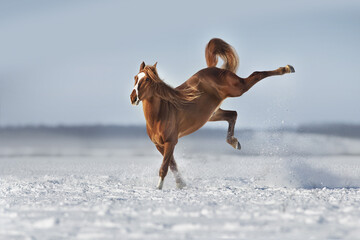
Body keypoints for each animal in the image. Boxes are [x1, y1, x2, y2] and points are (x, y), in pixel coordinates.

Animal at [131, 38, 294, 189]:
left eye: (147, 79)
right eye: (135, 77)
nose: (133, 98)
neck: (160, 115)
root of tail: (213, 69)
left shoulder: (171, 142)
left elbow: (164, 167)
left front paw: (159, 188)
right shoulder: (159, 145)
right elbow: (173, 165)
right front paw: (181, 184)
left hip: (238, 89)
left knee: (256, 74)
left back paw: (287, 68)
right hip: (213, 114)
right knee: (233, 114)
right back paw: (234, 142)